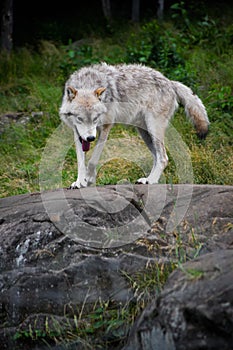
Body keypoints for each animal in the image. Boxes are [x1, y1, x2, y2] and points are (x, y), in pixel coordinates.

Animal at [59, 63, 208, 189]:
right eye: (80, 119)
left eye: (95, 118)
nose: (90, 138)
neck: (87, 83)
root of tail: (170, 82)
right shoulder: (77, 133)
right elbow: (80, 161)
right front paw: (80, 182)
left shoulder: (105, 128)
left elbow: (92, 160)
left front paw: (89, 179)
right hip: (144, 133)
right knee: (156, 157)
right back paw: (148, 179)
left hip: (153, 129)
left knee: (163, 158)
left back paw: (151, 180)